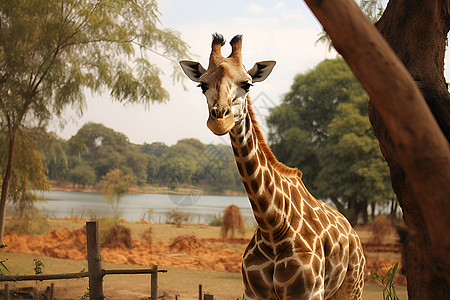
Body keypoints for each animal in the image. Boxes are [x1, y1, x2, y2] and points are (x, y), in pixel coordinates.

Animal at [180, 34, 366, 298]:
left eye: (247, 84)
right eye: (202, 85)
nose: (220, 120)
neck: (273, 227)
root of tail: (354, 233)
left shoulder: (310, 292)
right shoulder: (252, 292)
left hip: (352, 287)